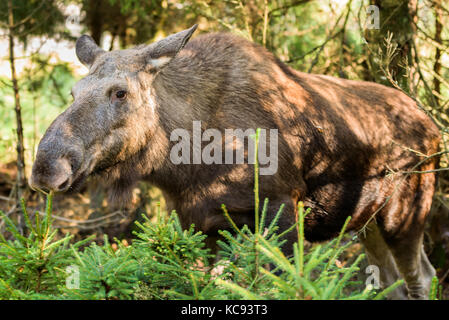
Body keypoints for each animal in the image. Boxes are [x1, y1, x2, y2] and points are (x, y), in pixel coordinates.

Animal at [29, 25, 440, 300]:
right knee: (392, 283)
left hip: (406, 212)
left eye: (120, 92)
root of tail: (433, 125)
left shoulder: (281, 211)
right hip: (366, 222)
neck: (185, 165)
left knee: (421, 276)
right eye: (73, 92)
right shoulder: (197, 222)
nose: (46, 167)